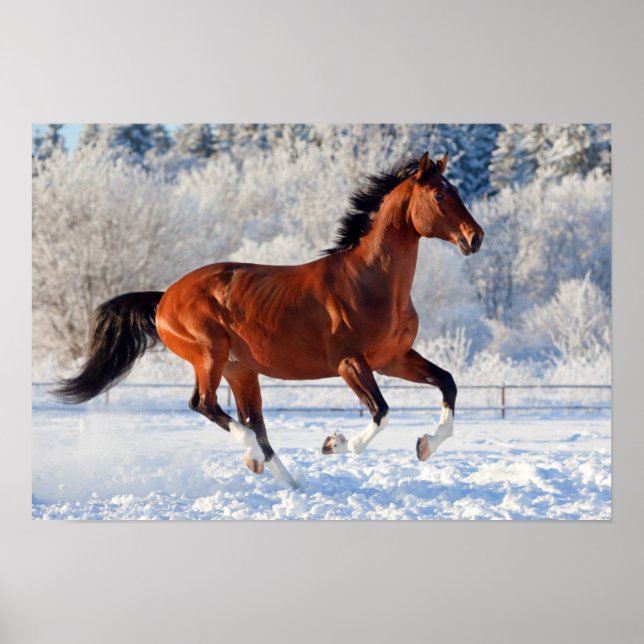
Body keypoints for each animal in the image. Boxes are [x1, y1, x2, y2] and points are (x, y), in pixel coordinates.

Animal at [54, 152, 484, 490]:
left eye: (457, 191)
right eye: (440, 194)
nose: (475, 238)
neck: (370, 282)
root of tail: (164, 299)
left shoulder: (393, 359)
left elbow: (447, 382)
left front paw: (425, 445)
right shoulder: (351, 363)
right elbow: (381, 412)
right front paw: (334, 443)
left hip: (240, 369)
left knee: (252, 421)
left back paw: (286, 480)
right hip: (209, 355)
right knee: (206, 405)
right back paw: (253, 456)